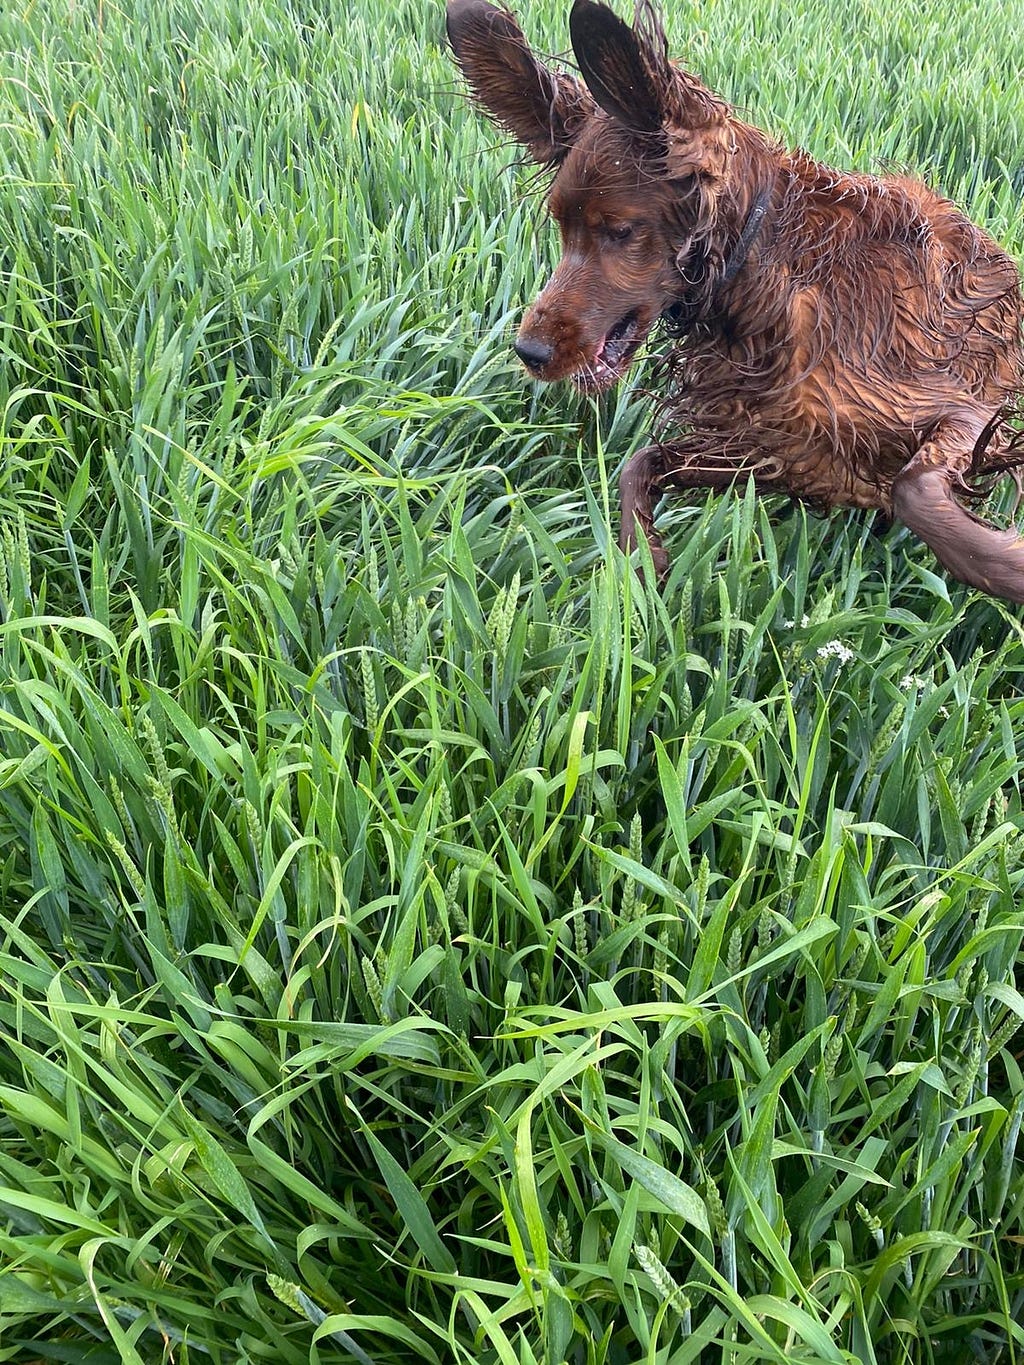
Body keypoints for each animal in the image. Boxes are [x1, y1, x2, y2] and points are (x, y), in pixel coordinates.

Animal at [447, 0, 1024, 603]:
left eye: (620, 231)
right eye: (561, 227)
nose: (529, 352)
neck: (764, 286)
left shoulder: (959, 408)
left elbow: (916, 488)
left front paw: (1004, 563)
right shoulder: (776, 449)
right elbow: (641, 463)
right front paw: (644, 565)